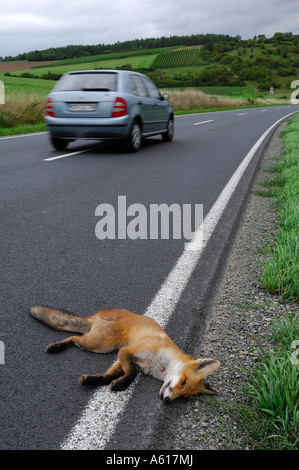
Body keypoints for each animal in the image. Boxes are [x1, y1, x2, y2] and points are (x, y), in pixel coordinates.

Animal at [30, 306, 221, 402]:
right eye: (183, 382)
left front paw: (93, 380)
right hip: (101, 344)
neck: (159, 366)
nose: (167, 400)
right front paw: (121, 385)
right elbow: (132, 374)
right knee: (74, 338)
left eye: (184, 396)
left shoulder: (124, 360)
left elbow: (107, 376)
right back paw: (56, 346)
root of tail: (97, 315)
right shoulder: (126, 351)